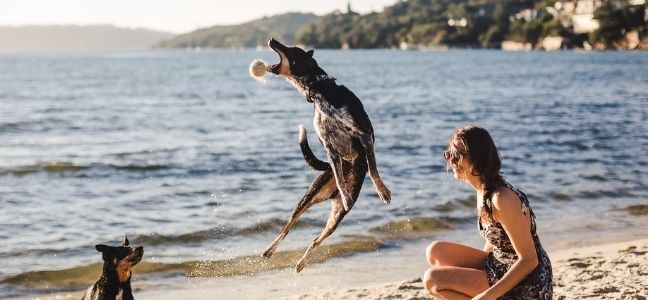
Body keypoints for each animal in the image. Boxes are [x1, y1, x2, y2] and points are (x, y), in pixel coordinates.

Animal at [262, 37, 390, 272]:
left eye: (291, 49)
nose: (272, 39)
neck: (319, 90)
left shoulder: (364, 133)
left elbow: (374, 169)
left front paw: (382, 191)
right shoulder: (330, 148)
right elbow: (340, 178)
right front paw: (345, 190)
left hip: (336, 215)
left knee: (316, 239)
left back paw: (301, 262)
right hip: (310, 196)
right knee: (288, 226)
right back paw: (271, 251)